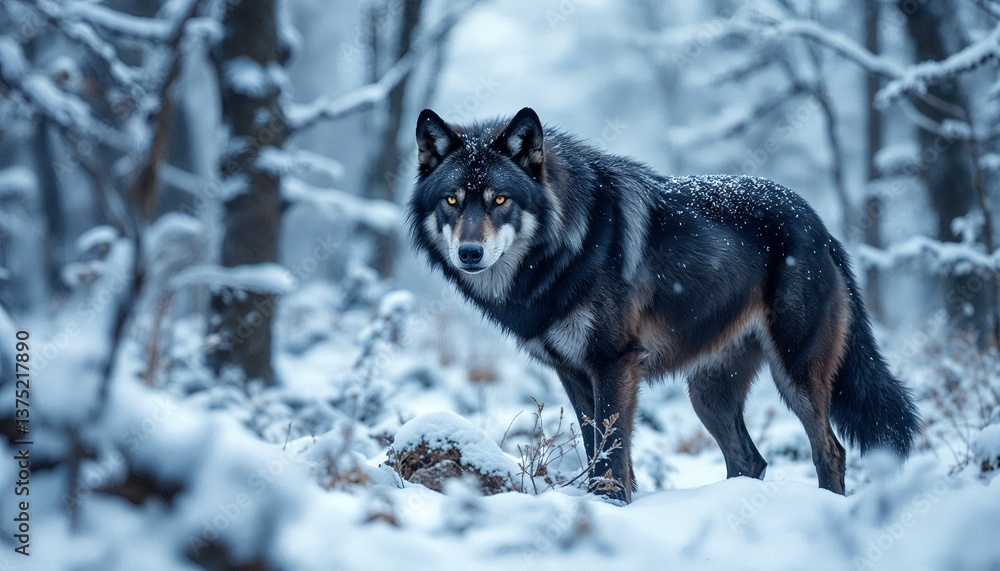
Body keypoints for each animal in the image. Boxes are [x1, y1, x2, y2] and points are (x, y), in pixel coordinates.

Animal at [407, 107, 919, 503]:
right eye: (452, 200)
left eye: (500, 200)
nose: (469, 253)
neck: (565, 250)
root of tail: (819, 224)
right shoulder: (573, 373)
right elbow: (600, 448)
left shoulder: (614, 362)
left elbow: (612, 454)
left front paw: (610, 507)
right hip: (707, 394)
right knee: (750, 459)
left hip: (795, 374)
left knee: (829, 450)